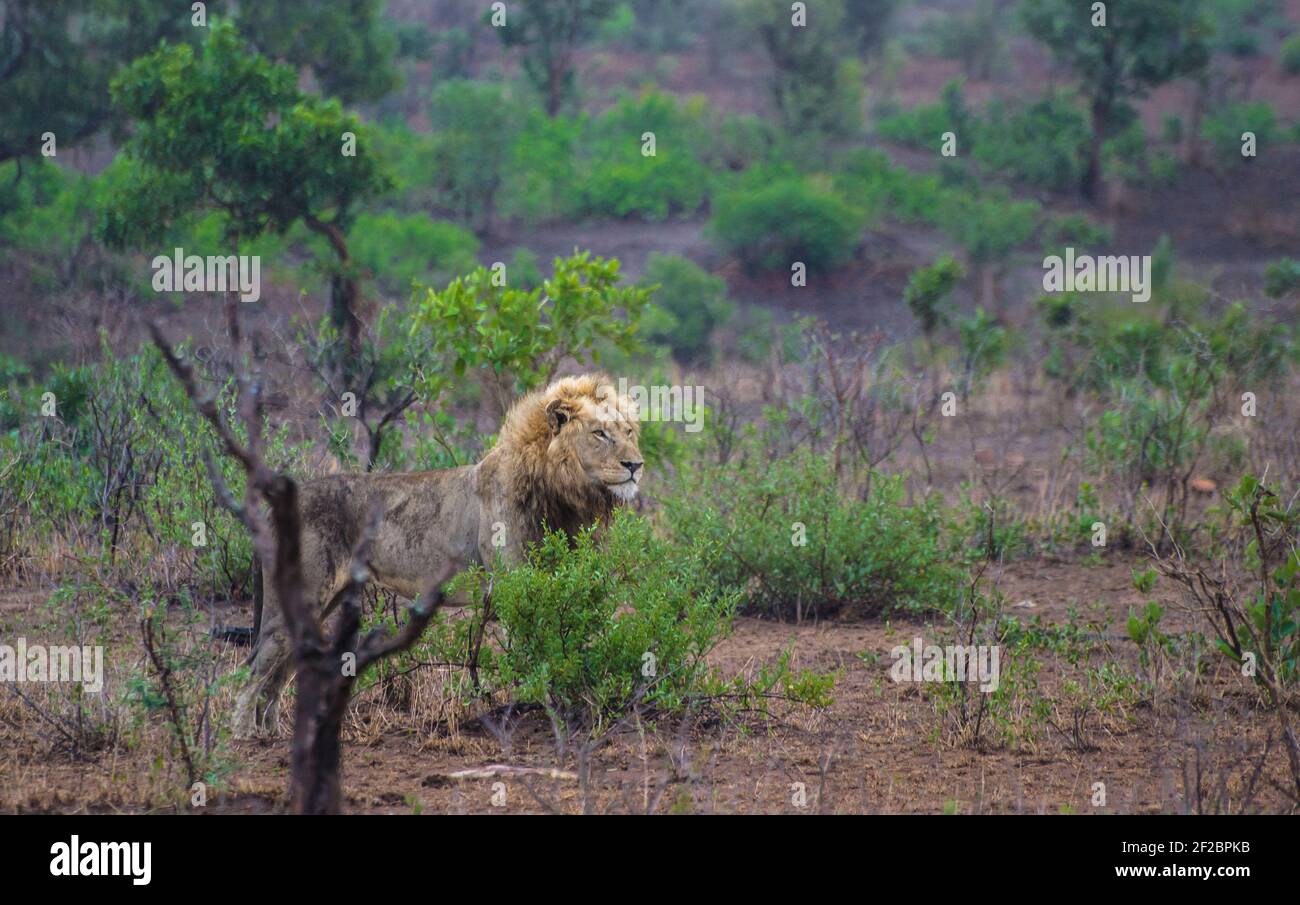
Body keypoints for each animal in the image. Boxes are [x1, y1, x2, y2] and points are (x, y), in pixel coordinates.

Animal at [232, 374, 644, 733]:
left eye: (628, 432)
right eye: (600, 433)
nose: (635, 465)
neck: (562, 492)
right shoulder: (514, 581)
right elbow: (533, 650)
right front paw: (541, 704)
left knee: (276, 676)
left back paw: (272, 733)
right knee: (253, 672)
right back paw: (244, 737)